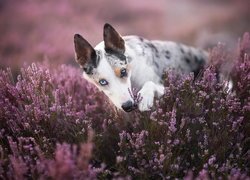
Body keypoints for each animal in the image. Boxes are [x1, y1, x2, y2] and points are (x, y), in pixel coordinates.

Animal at [73, 23, 208, 112]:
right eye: (102, 82)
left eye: (123, 71)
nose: (128, 106)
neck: (133, 76)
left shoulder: (165, 87)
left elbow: (149, 83)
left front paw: (145, 98)